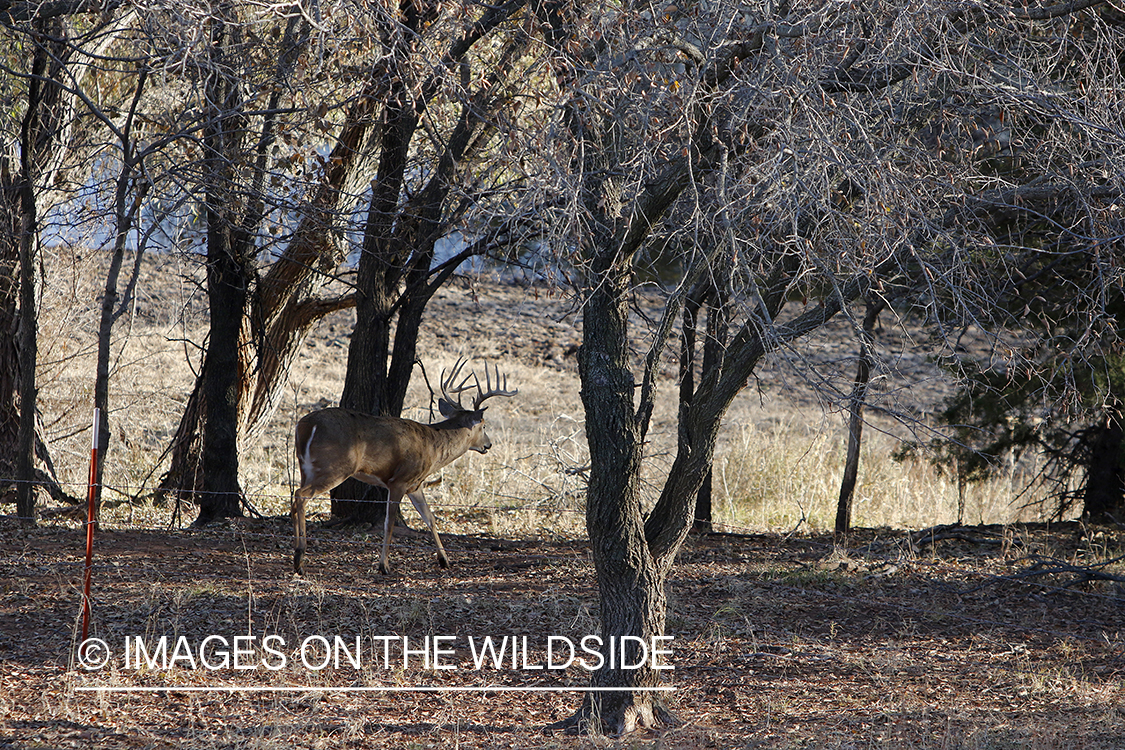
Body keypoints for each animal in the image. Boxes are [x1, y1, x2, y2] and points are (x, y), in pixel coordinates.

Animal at [290, 357, 517, 575]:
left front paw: (444, 560)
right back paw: (300, 557)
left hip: (306, 468)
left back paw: (296, 555)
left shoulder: (415, 485)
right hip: (335, 467)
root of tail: (305, 425)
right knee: (301, 495)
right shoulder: (398, 481)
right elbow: (389, 523)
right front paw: (384, 565)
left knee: (295, 498)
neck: (433, 447)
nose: (488, 444)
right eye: (484, 425)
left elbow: (430, 518)